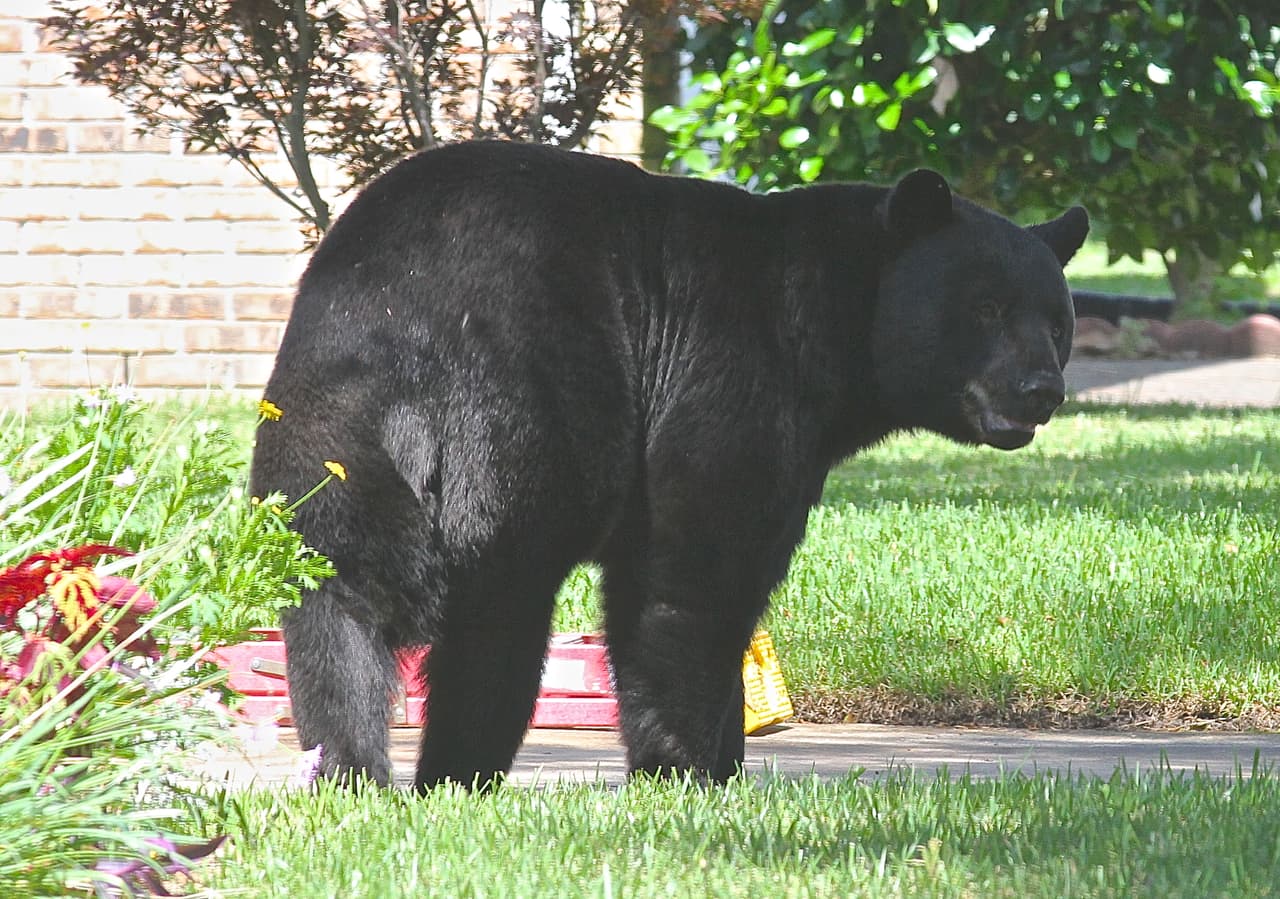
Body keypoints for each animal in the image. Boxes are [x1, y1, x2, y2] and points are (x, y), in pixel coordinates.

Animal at [250, 140, 1088, 790]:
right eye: (985, 309)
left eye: (1057, 319)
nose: (1041, 389)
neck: (829, 323)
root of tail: (409, 345)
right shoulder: (728, 376)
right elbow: (693, 573)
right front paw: (691, 767)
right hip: (528, 419)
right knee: (499, 615)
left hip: (325, 433)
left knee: (341, 606)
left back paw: (364, 775)